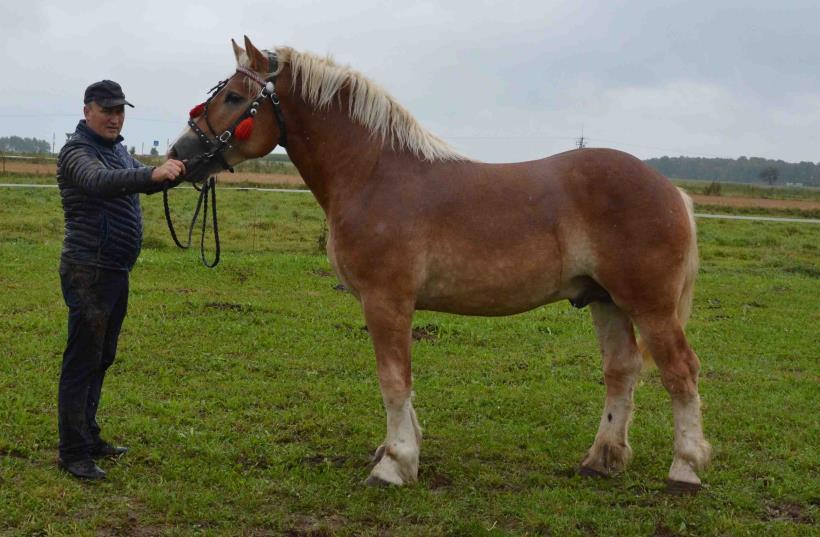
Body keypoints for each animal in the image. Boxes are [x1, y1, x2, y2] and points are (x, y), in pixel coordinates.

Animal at [171, 35, 712, 492]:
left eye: (235, 98)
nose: (181, 152)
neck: (375, 173)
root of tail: (672, 191)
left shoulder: (387, 300)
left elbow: (393, 380)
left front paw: (394, 465)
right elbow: (402, 385)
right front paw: (397, 450)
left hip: (649, 305)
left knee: (681, 371)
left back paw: (685, 468)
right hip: (607, 301)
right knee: (621, 370)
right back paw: (602, 459)